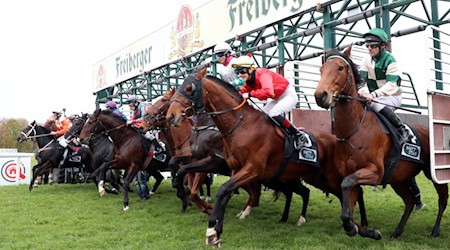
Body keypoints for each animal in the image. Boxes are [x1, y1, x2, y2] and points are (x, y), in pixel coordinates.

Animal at [166, 67, 370, 246]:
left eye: (189, 88)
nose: (170, 116)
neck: (240, 125)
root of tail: (337, 139)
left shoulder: (252, 169)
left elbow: (223, 190)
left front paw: (211, 227)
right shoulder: (231, 167)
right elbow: (219, 190)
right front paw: (215, 228)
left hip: (328, 177)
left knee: (352, 191)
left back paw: (358, 224)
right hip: (309, 177)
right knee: (321, 192)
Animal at [314, 46, 448, 239]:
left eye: (340, 68)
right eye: (321, 69)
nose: (320, 96)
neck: (354, 130)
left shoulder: (375, 172)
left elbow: (346, 185)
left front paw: (361, 229)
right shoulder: (354, 176)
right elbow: (349, 210)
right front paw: (364, 230)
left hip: (433, 173)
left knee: (442, 199)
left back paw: (435, 230)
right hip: (399, 177)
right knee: (409, 201)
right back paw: (397, 231)